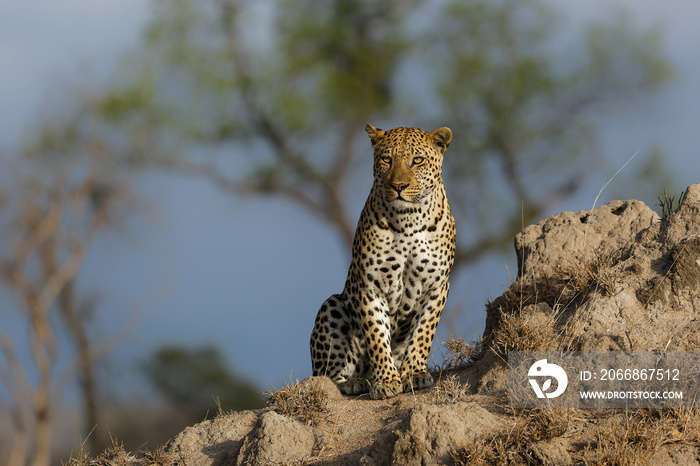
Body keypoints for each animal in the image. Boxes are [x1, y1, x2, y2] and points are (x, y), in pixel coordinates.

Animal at [310, 124, 454, 400]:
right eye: (387, 159)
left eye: (417, 160)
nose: (398, 185)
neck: (409, 220)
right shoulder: (370, 286)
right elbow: (377, 335)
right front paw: (386, 381)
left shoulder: (437, 285)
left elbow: (423, 332)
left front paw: (413, 374)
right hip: (331, 305)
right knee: (325, 376)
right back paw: (354, 383)